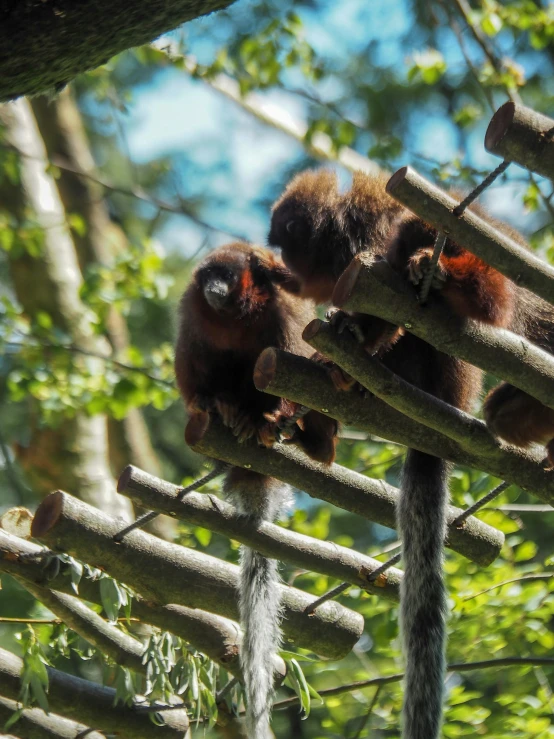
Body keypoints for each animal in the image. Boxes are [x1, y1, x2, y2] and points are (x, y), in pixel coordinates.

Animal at [175, 243, 334, 739]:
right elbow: (191, 358)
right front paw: (208, 401)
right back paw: (225, 410)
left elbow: (292, 350)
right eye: (208, 276)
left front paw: (275, 415)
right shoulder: (192, 308)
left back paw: (265, 423)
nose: (213, 286)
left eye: (225, 276)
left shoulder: (283, 307)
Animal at [268, 168, 516, 739]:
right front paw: (344, 332)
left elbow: (492, 296)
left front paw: (433, 272)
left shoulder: (404, 223)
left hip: (440, 381)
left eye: (287, 244)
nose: (286, 266)